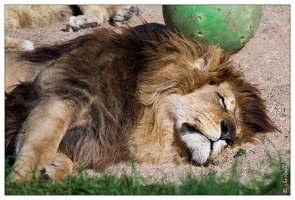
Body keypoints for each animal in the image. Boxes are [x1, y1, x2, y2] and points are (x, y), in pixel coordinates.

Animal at [4, 24, 278, 182]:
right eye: (221, 100)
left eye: (234, 141)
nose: (228, 134)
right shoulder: (64, 94)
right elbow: (40, 146)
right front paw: (21, 184)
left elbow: (56, 151)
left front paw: (54, 171)